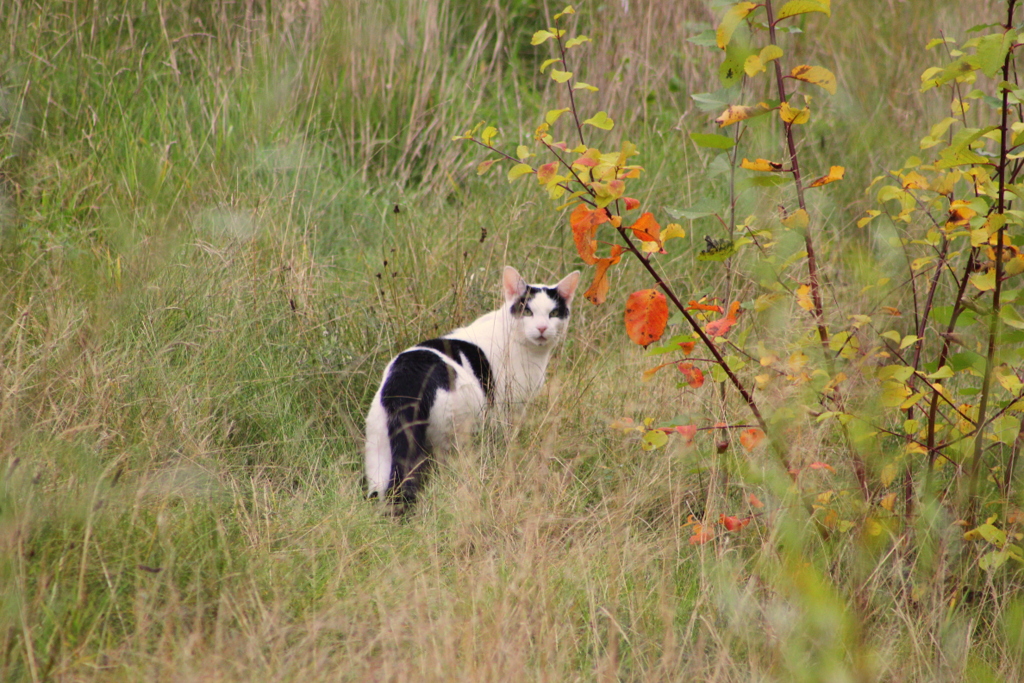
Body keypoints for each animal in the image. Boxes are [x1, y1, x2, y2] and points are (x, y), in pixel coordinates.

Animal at [364, 266, 581, 507]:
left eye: (554, 313)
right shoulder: (507, 409)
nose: (542, 328)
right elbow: (507, 438)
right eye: (527, 312)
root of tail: (409, 374)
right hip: (454, 435)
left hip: (380, 446)